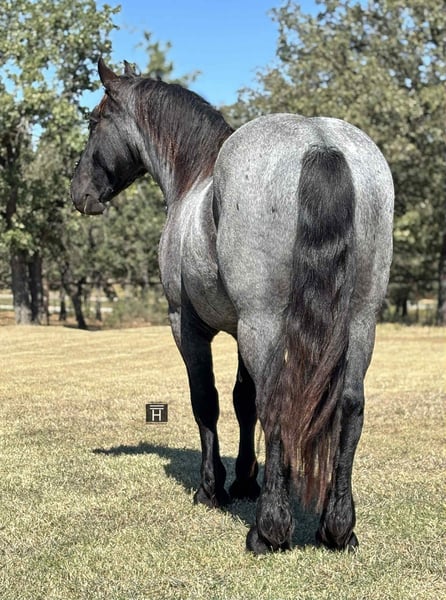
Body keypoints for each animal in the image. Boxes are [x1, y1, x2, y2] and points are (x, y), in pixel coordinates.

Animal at [71, 59, 394, 554]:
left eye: (94, 121)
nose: (79, 191)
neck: (196, 179)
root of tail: (320, 143)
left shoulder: (189, 325)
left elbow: (207, 399)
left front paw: (213, 488)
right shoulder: (242, 330)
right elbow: (243, 401)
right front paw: (245, 481)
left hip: (266, 323)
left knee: (277, 402)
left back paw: (268, 530)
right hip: (358, 323)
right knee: (350, 407)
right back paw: (338, 529)